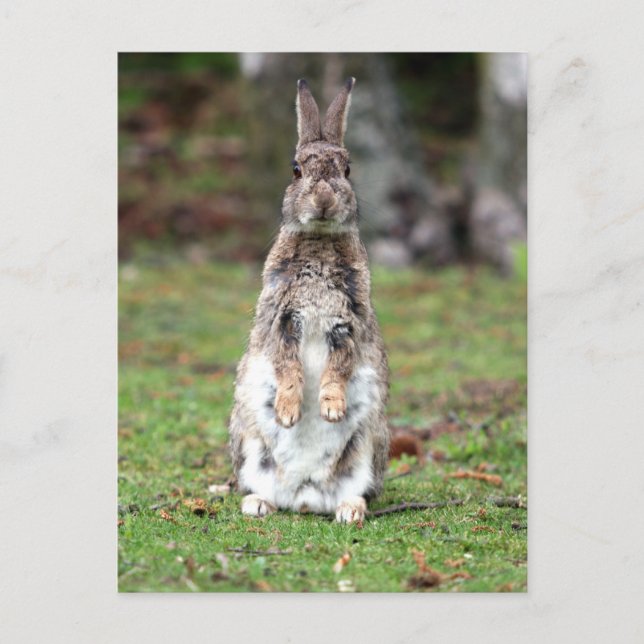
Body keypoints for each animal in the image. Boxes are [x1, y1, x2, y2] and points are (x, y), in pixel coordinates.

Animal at [229, 78, 389, 524]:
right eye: (296, 169)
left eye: (347, 170)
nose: (323, 200)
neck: (318, 238)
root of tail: (304, 496)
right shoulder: (282, 318)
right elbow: (287, 366)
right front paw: (288, 411)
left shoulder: (348, 320)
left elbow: (339, 367)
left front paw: (331, 408)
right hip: (248, 442)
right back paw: (258, 504)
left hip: (369, 444)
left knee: (355, 491)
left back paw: (349, 511)